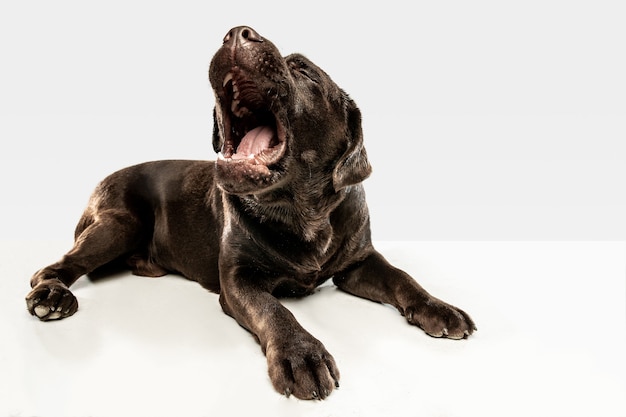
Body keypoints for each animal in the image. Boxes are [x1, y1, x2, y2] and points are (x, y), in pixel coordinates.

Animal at [23, 26, 472, 400]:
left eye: (305, 71)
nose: (238, 32)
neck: (303, 212)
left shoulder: (359, 262)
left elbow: (403, 278)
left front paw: (440, 308)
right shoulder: (239, 279)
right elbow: (275, 310)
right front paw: (301, 354)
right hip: (119, 223)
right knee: (55, 266)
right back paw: (52, 296)